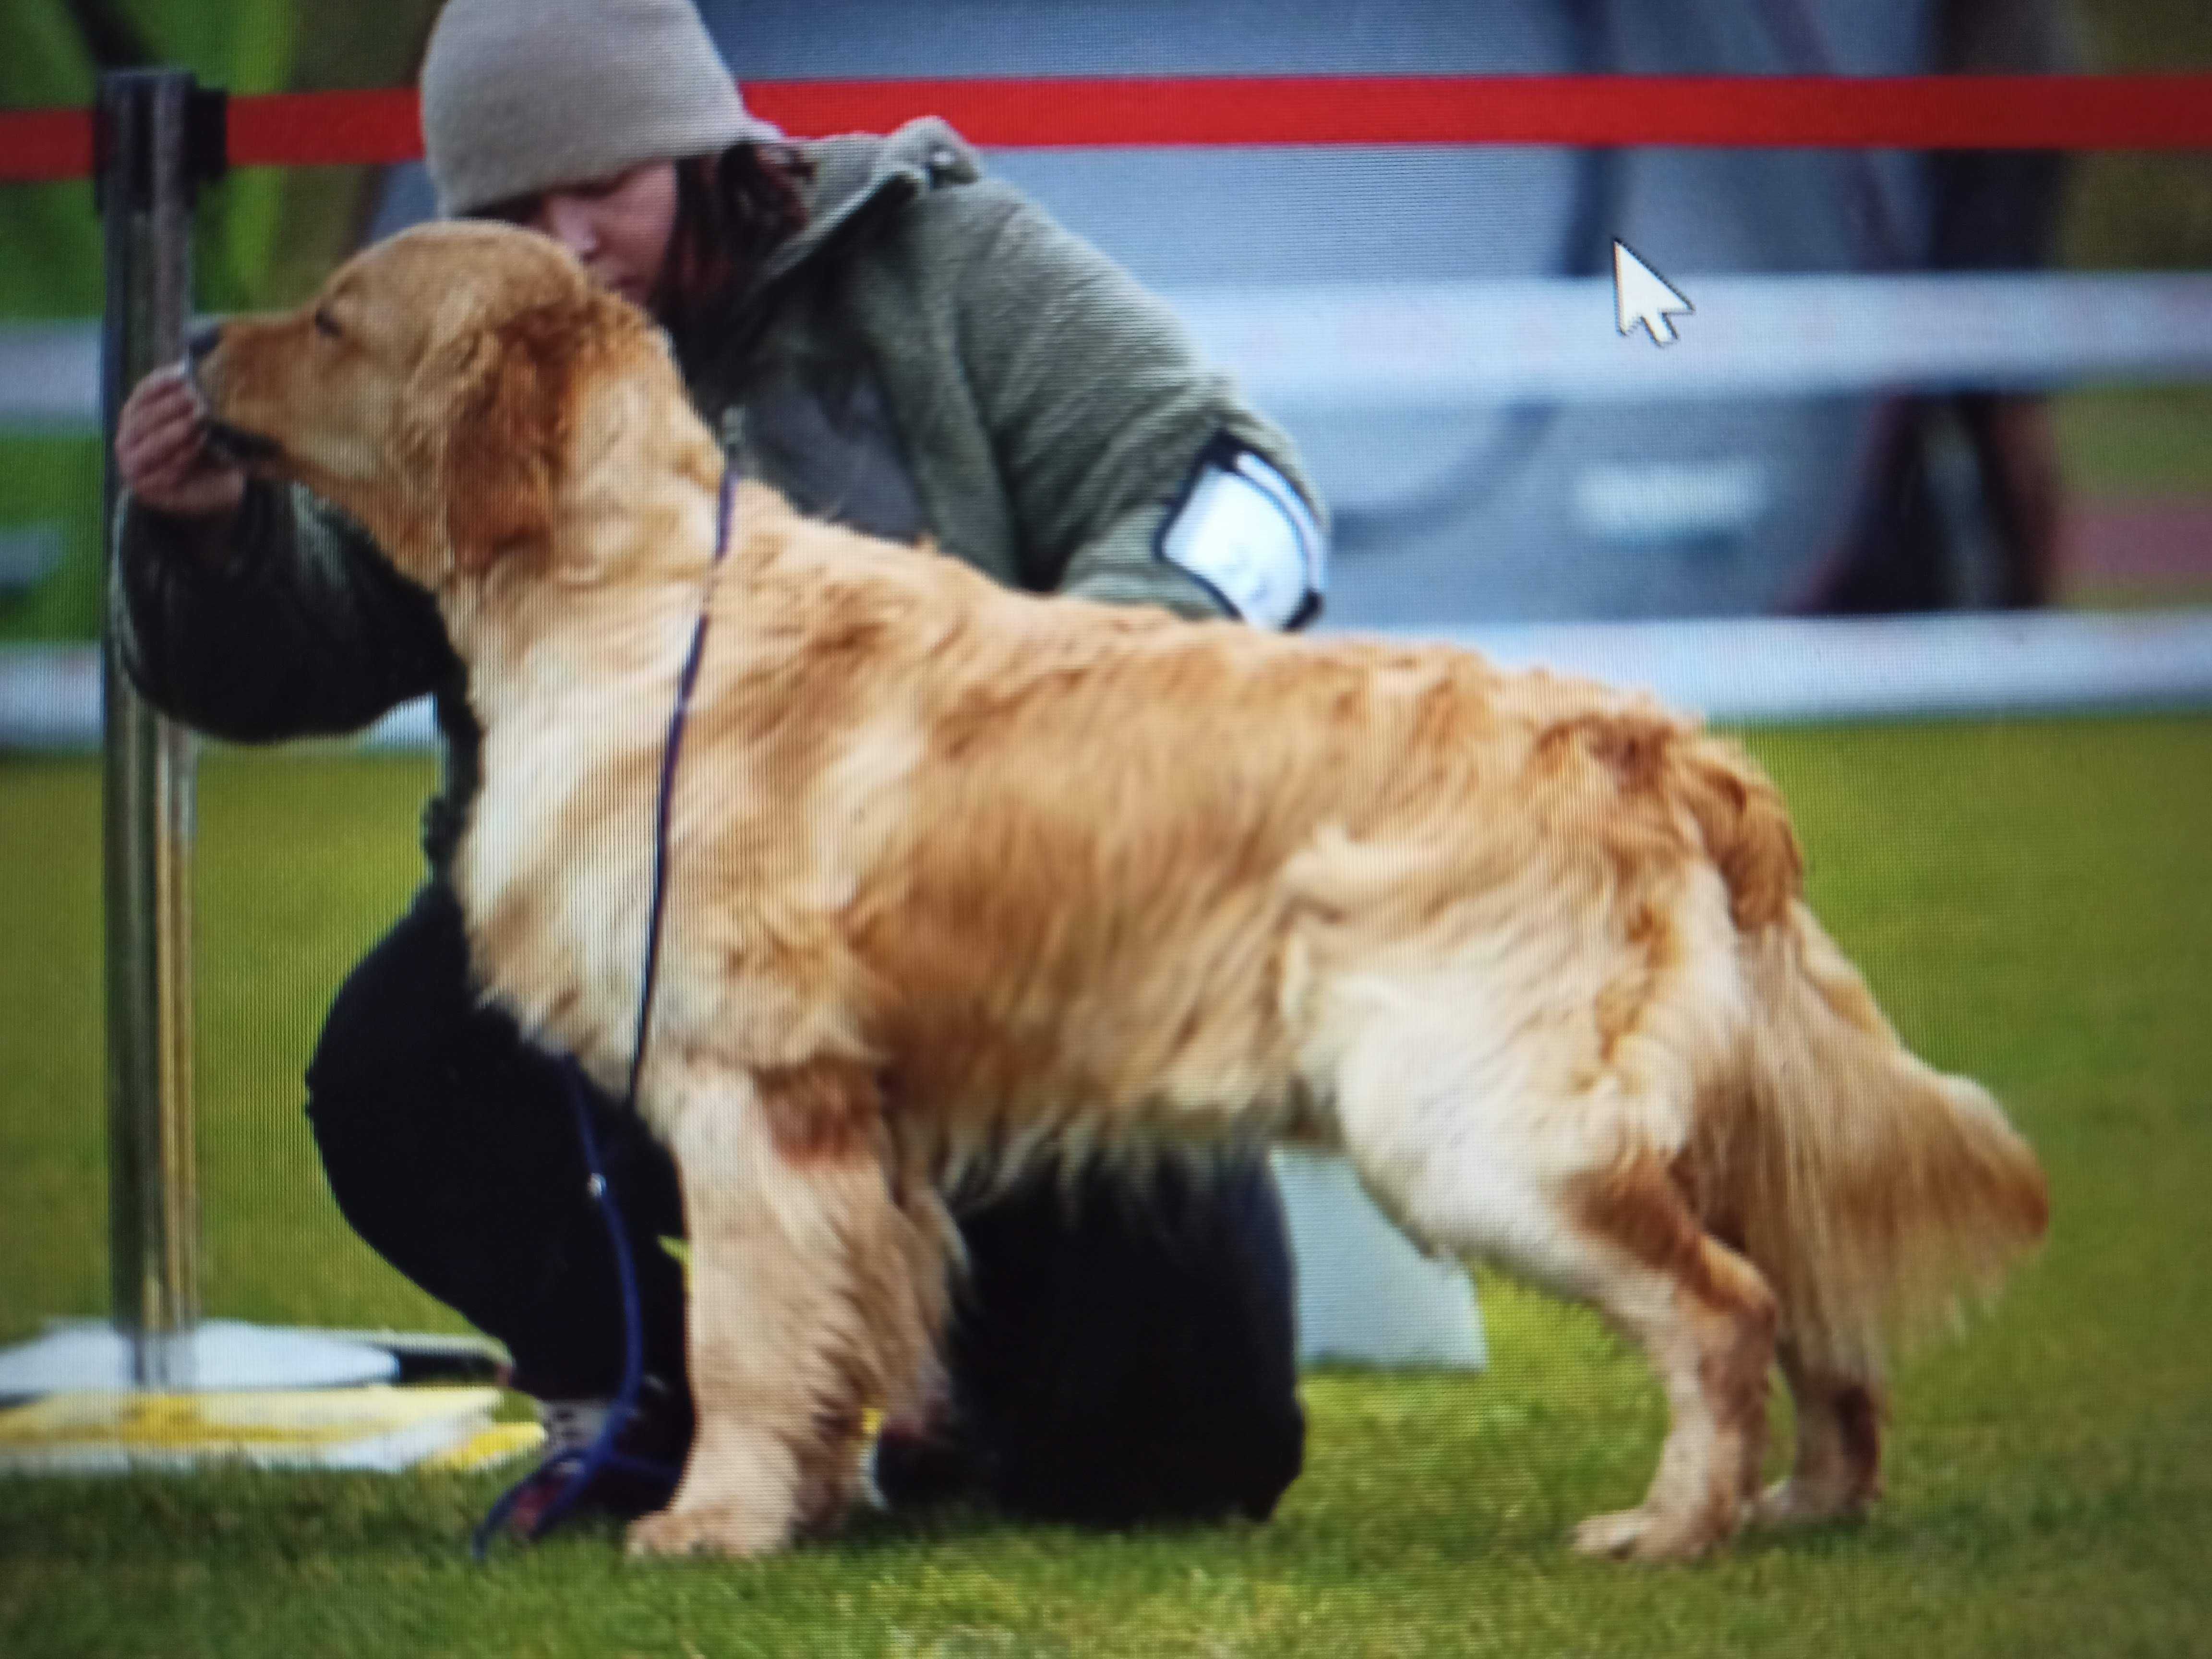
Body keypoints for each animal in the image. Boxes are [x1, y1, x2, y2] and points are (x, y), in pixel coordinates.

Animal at [199, 224, 2044, 1575]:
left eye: (336, 317)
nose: (200, 339)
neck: (638, 592)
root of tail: (1660, 741)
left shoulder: (751, 1093)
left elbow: (739, 1335)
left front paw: (710, 1524)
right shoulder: (852, 1135)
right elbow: (838, 1336)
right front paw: (805, 1505)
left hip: (1476, 1127)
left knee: (1725, 1308)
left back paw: (1670, 1527)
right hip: (1697, 1117)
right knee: (1812, 1301)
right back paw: (1808, 1500)